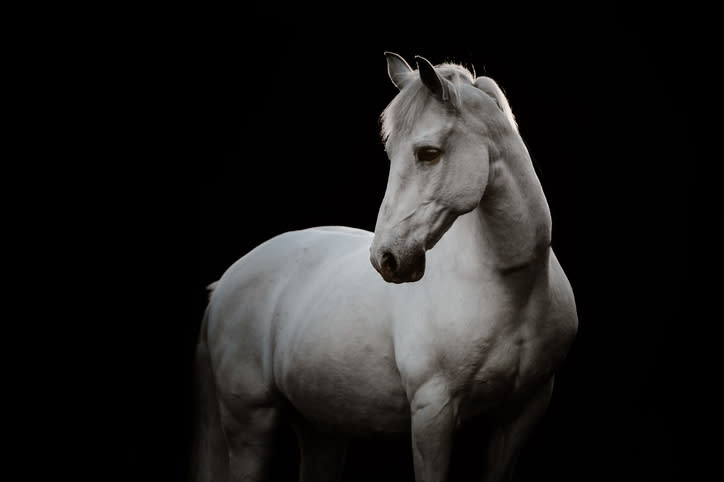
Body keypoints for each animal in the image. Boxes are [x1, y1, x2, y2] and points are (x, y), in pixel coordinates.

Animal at [192, 53, 576, 482]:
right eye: (391, 153)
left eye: (428, 153)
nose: (386, 259)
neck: (511, 285)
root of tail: (227, 280)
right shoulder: (433, 413)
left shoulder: (524, 410)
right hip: (250, 426)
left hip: (320, 428)